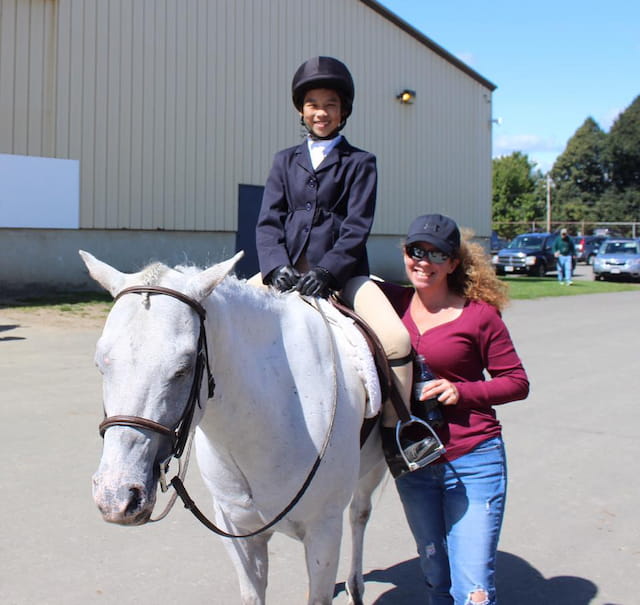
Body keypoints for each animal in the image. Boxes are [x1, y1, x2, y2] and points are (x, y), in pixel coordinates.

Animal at [80, 250, 390, 604]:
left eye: (184, 368)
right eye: (101, 363)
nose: (116, 497)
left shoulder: (323, 531)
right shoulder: (237, 531)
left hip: (372, 471)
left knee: (359, 515)